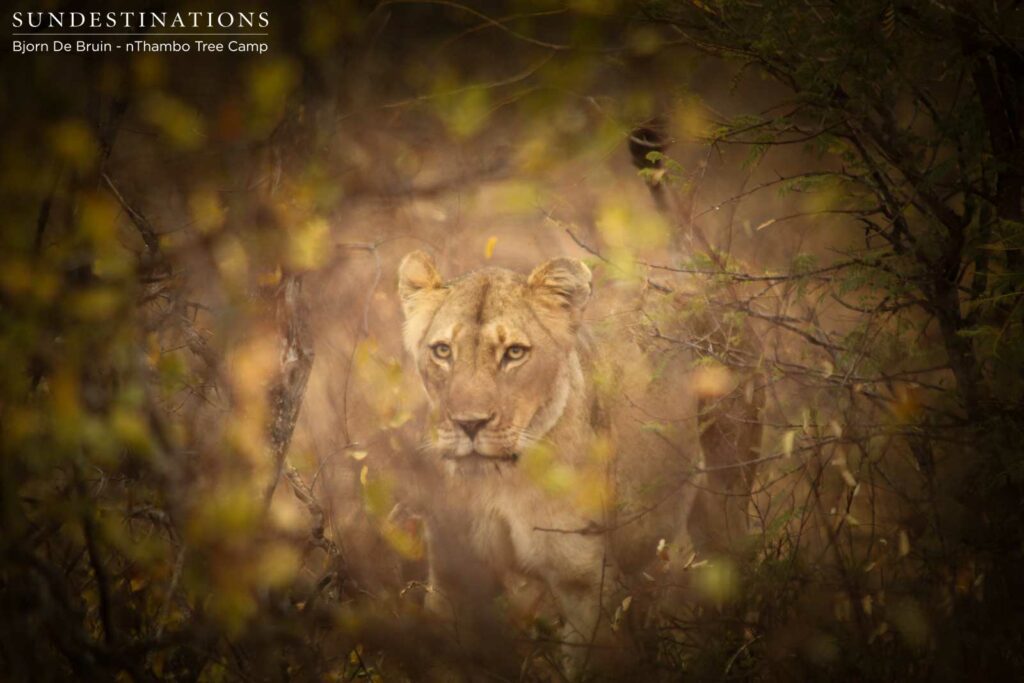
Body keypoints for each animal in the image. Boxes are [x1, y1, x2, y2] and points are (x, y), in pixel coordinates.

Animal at [397, 249, 751, 671]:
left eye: (514, 353)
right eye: (443, 351)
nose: (469, 424)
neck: (498, 479)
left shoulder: (584, 585)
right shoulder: (453, 579)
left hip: (727, 501)